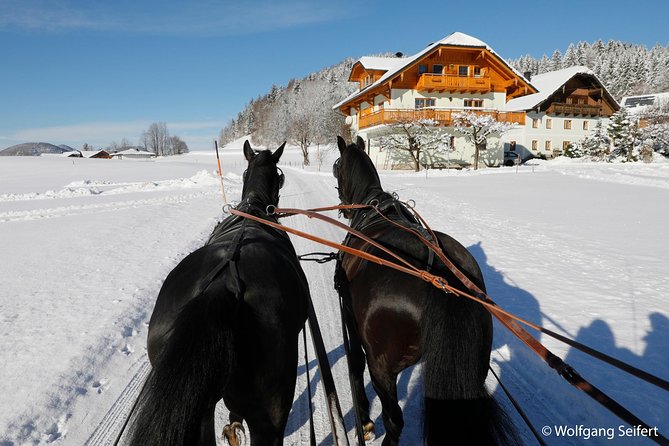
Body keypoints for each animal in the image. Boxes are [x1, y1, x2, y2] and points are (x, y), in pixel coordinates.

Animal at [332, 137, 516, 446]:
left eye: (336, 169)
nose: (343, 207)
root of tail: (442, 277)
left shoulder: (350, 319)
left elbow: (355, 365)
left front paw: (365, 422)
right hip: (475, 367)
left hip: (381, 368)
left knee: (394, 420)